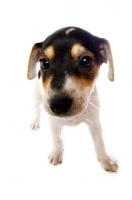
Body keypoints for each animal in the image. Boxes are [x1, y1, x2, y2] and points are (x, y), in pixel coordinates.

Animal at [27, 26, 118, 172]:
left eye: (86, 61)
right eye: (44, 62)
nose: (58, 104)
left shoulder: (95, 123)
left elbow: (99, 143)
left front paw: (105, 160)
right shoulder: (53, 123)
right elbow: (57, 140)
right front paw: (57, 154)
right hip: (36, 96)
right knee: (37, 109)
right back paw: (35, 122)